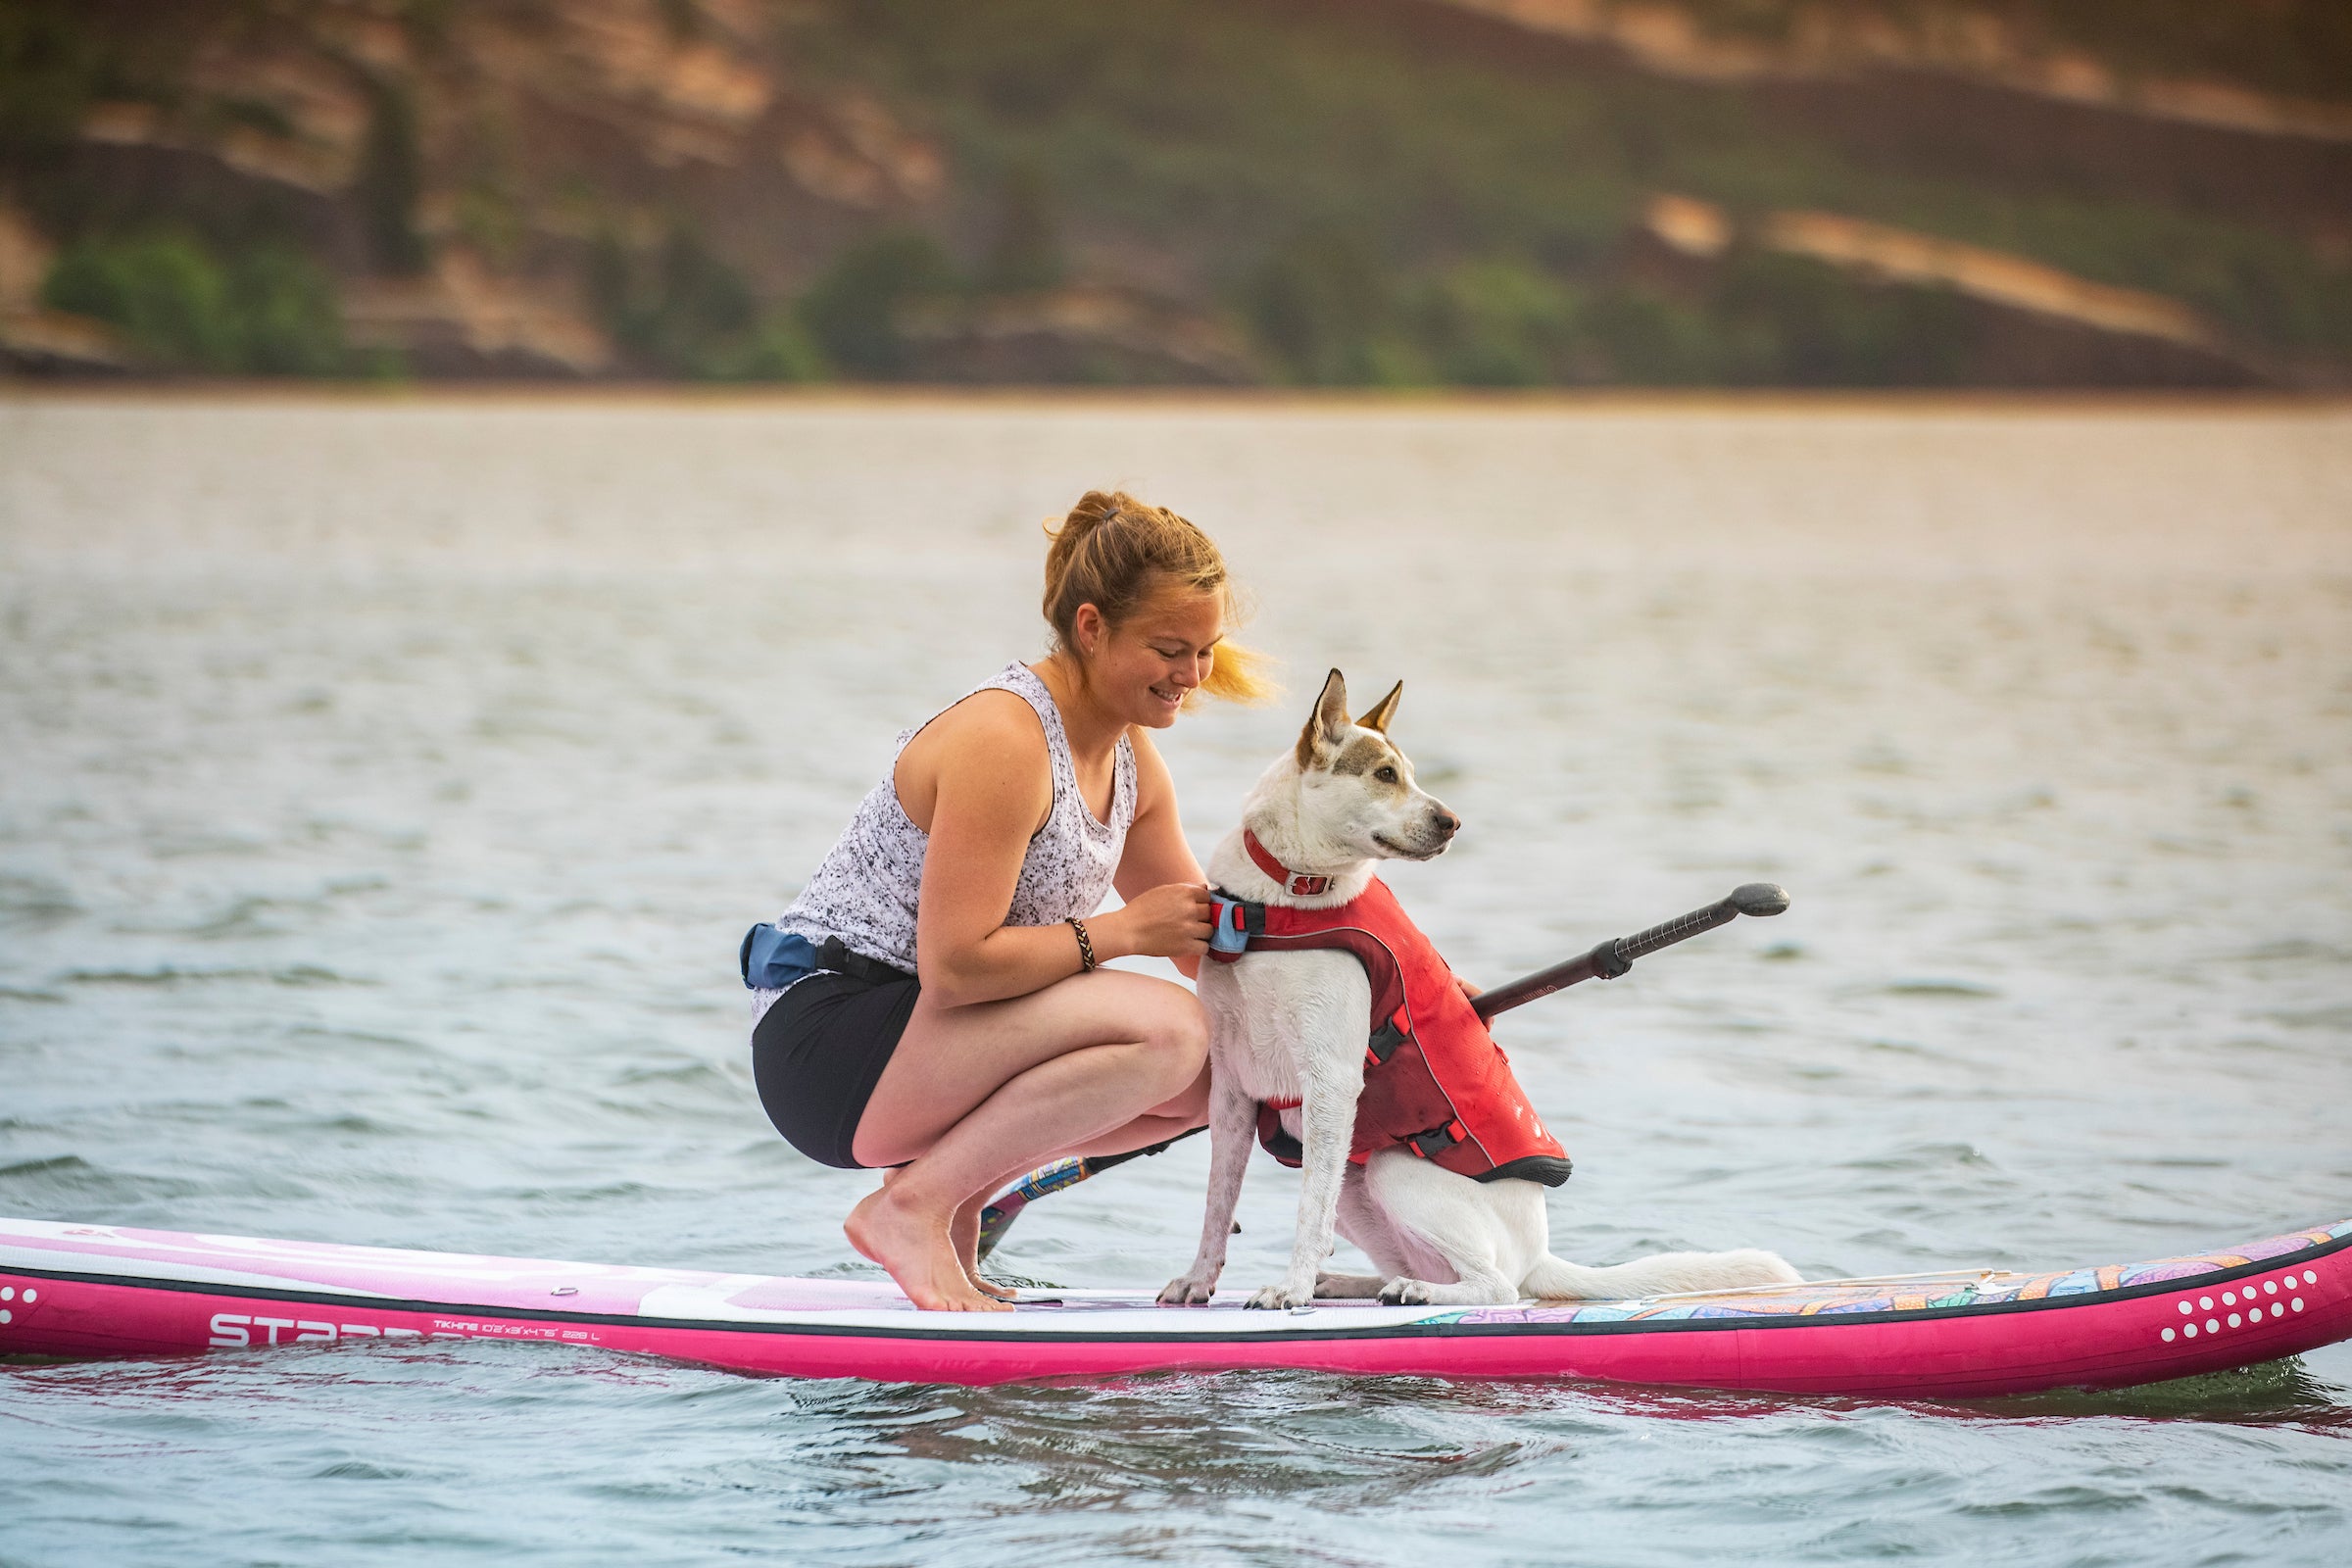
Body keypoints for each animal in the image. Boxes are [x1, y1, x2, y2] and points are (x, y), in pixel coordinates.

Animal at [1161, 672, 1796, 1316]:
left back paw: (1404, 1290)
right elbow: (1219, 1202)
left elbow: (1307, 1213)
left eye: (1411, 773)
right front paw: (1200, 1279)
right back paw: (1352, 1283)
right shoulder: (1233, 1090)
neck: (1282, 896)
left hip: (1390, 1170)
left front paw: (1288, 1290)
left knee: (1498, 1285)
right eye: (1384, 774)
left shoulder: (1331, 1081)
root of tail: (1540, 1255)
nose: (1453, 822)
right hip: (1357, 1183)